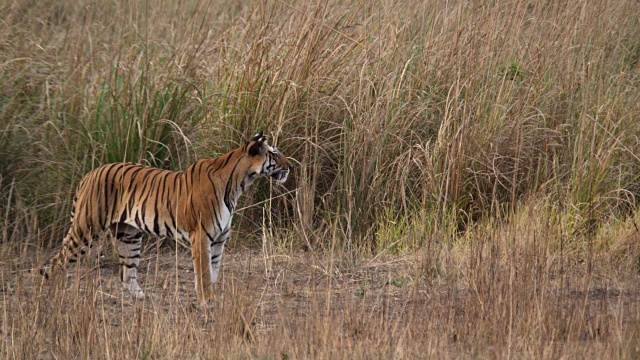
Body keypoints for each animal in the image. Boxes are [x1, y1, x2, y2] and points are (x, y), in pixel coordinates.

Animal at [43, 132, 294, 304]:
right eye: (275, 153)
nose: (290, 166)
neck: (240, 183)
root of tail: (89, 174)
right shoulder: (201, 236)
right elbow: (204, 272)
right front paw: (207, 301)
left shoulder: (219, 239)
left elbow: (214, 271)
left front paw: (213, 298)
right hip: (87, 228)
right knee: (58, 261)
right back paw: (53, 296)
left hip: (129, 236)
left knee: (126, 273)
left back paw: (141, 298)